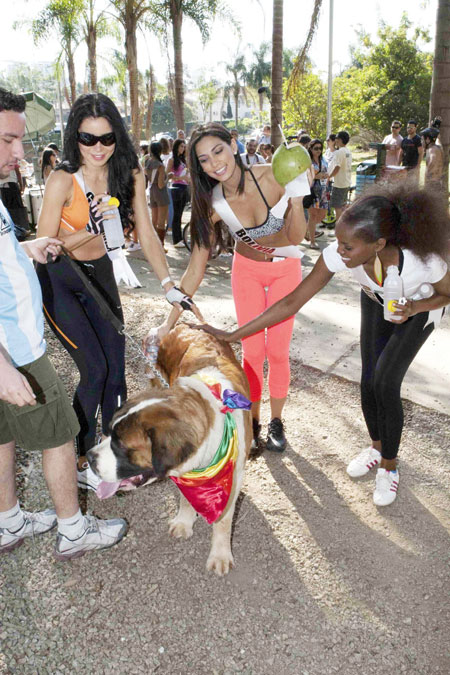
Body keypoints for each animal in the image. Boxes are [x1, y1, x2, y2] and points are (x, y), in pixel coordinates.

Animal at [85, 324, 253, 576]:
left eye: (121, 445)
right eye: (110, 432)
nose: (89, 457)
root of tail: (188, 325)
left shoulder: (234, 477)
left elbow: (223, 519)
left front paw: (220, 554)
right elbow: (185, 497)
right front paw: (184, 521)